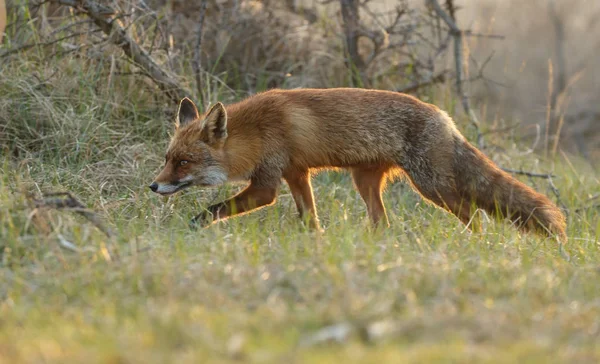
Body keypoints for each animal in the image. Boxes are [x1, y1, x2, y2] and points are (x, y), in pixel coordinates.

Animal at [150, 87, 568, 242]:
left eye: (183, 162)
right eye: (167, 159)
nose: (153, 187)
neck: (256, 132)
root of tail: (446, 118)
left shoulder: (268, 183)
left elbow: (214, 210)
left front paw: (191, 228)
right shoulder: (296, 173)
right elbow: (309, 217)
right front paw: (315, 242)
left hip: (432, 186)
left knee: (476, 215)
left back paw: (475, 245)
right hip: (364, 182)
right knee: (383, 221)